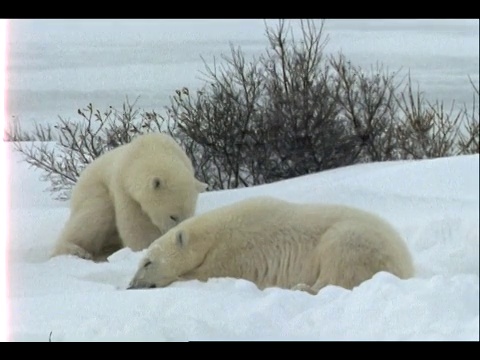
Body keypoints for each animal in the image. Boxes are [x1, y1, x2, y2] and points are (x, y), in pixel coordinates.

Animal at [52, 133, 208, 262]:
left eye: (189, 215)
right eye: (172, 216)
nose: (177, 235)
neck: (152, 148)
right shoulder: (124, 189)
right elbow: (136, 226)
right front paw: (145, 248)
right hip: (93, 189)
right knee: (96, 216)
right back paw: (77, 251)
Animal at [129, 195, 414, 294]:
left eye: (148, 262)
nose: (132, 285)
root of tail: (406, 265)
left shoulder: (236, 252)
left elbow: (208, 273)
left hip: (352, 237)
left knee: (339, 266)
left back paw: (302, 287)